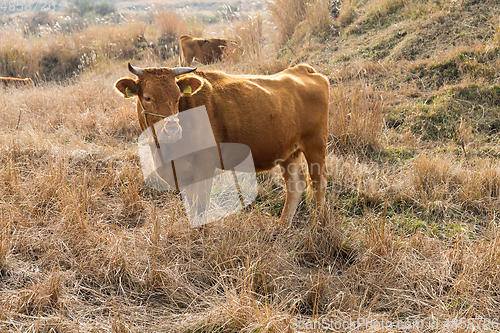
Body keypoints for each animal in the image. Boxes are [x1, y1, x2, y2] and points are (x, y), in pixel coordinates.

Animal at [115, 62, 330, 226]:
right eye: (147, 97)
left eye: (177, 98)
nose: (173, 130)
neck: (166, 154)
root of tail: (302, 69)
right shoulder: (184, 175)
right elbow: (192, 207)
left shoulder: (204, 166)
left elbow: (200, 207)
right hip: (288, 151)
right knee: (295, 185)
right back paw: (281, 227)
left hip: (315, 145)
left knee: (318, 182)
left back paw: (319, 224)